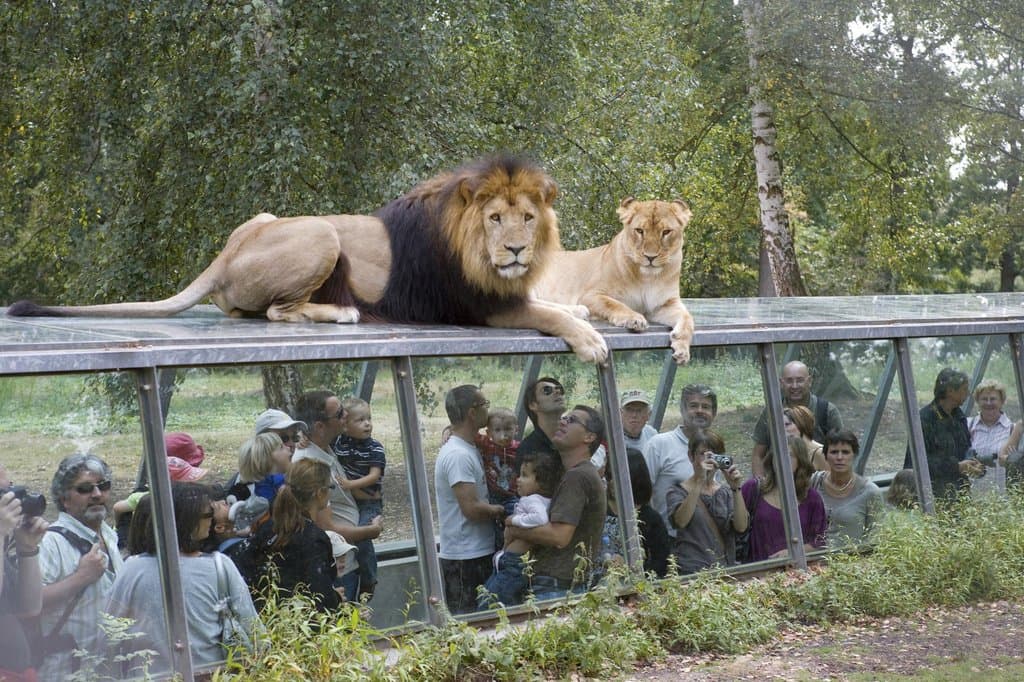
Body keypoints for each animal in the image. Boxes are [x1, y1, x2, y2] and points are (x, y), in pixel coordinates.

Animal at [8, 157, 608, 363]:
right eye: (495, 219)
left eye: (527, 217)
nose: (516, 250)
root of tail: (224, 255)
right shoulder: (475, 306)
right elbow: (542, 312)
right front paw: (590, 341)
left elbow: (554, 303)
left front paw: (584, 313)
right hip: (321, 231)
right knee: (277, 311)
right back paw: (340, 312)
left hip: (270, 218)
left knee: (242, 312)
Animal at [532, 197, 694, 364]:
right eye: (639, 231)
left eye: (666, 232)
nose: (650, 257)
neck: (647, 278)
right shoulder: (590, 295)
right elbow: (614, 304)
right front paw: (634, 318)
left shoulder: (664, 304)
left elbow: (688, 318)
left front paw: (682, 349)